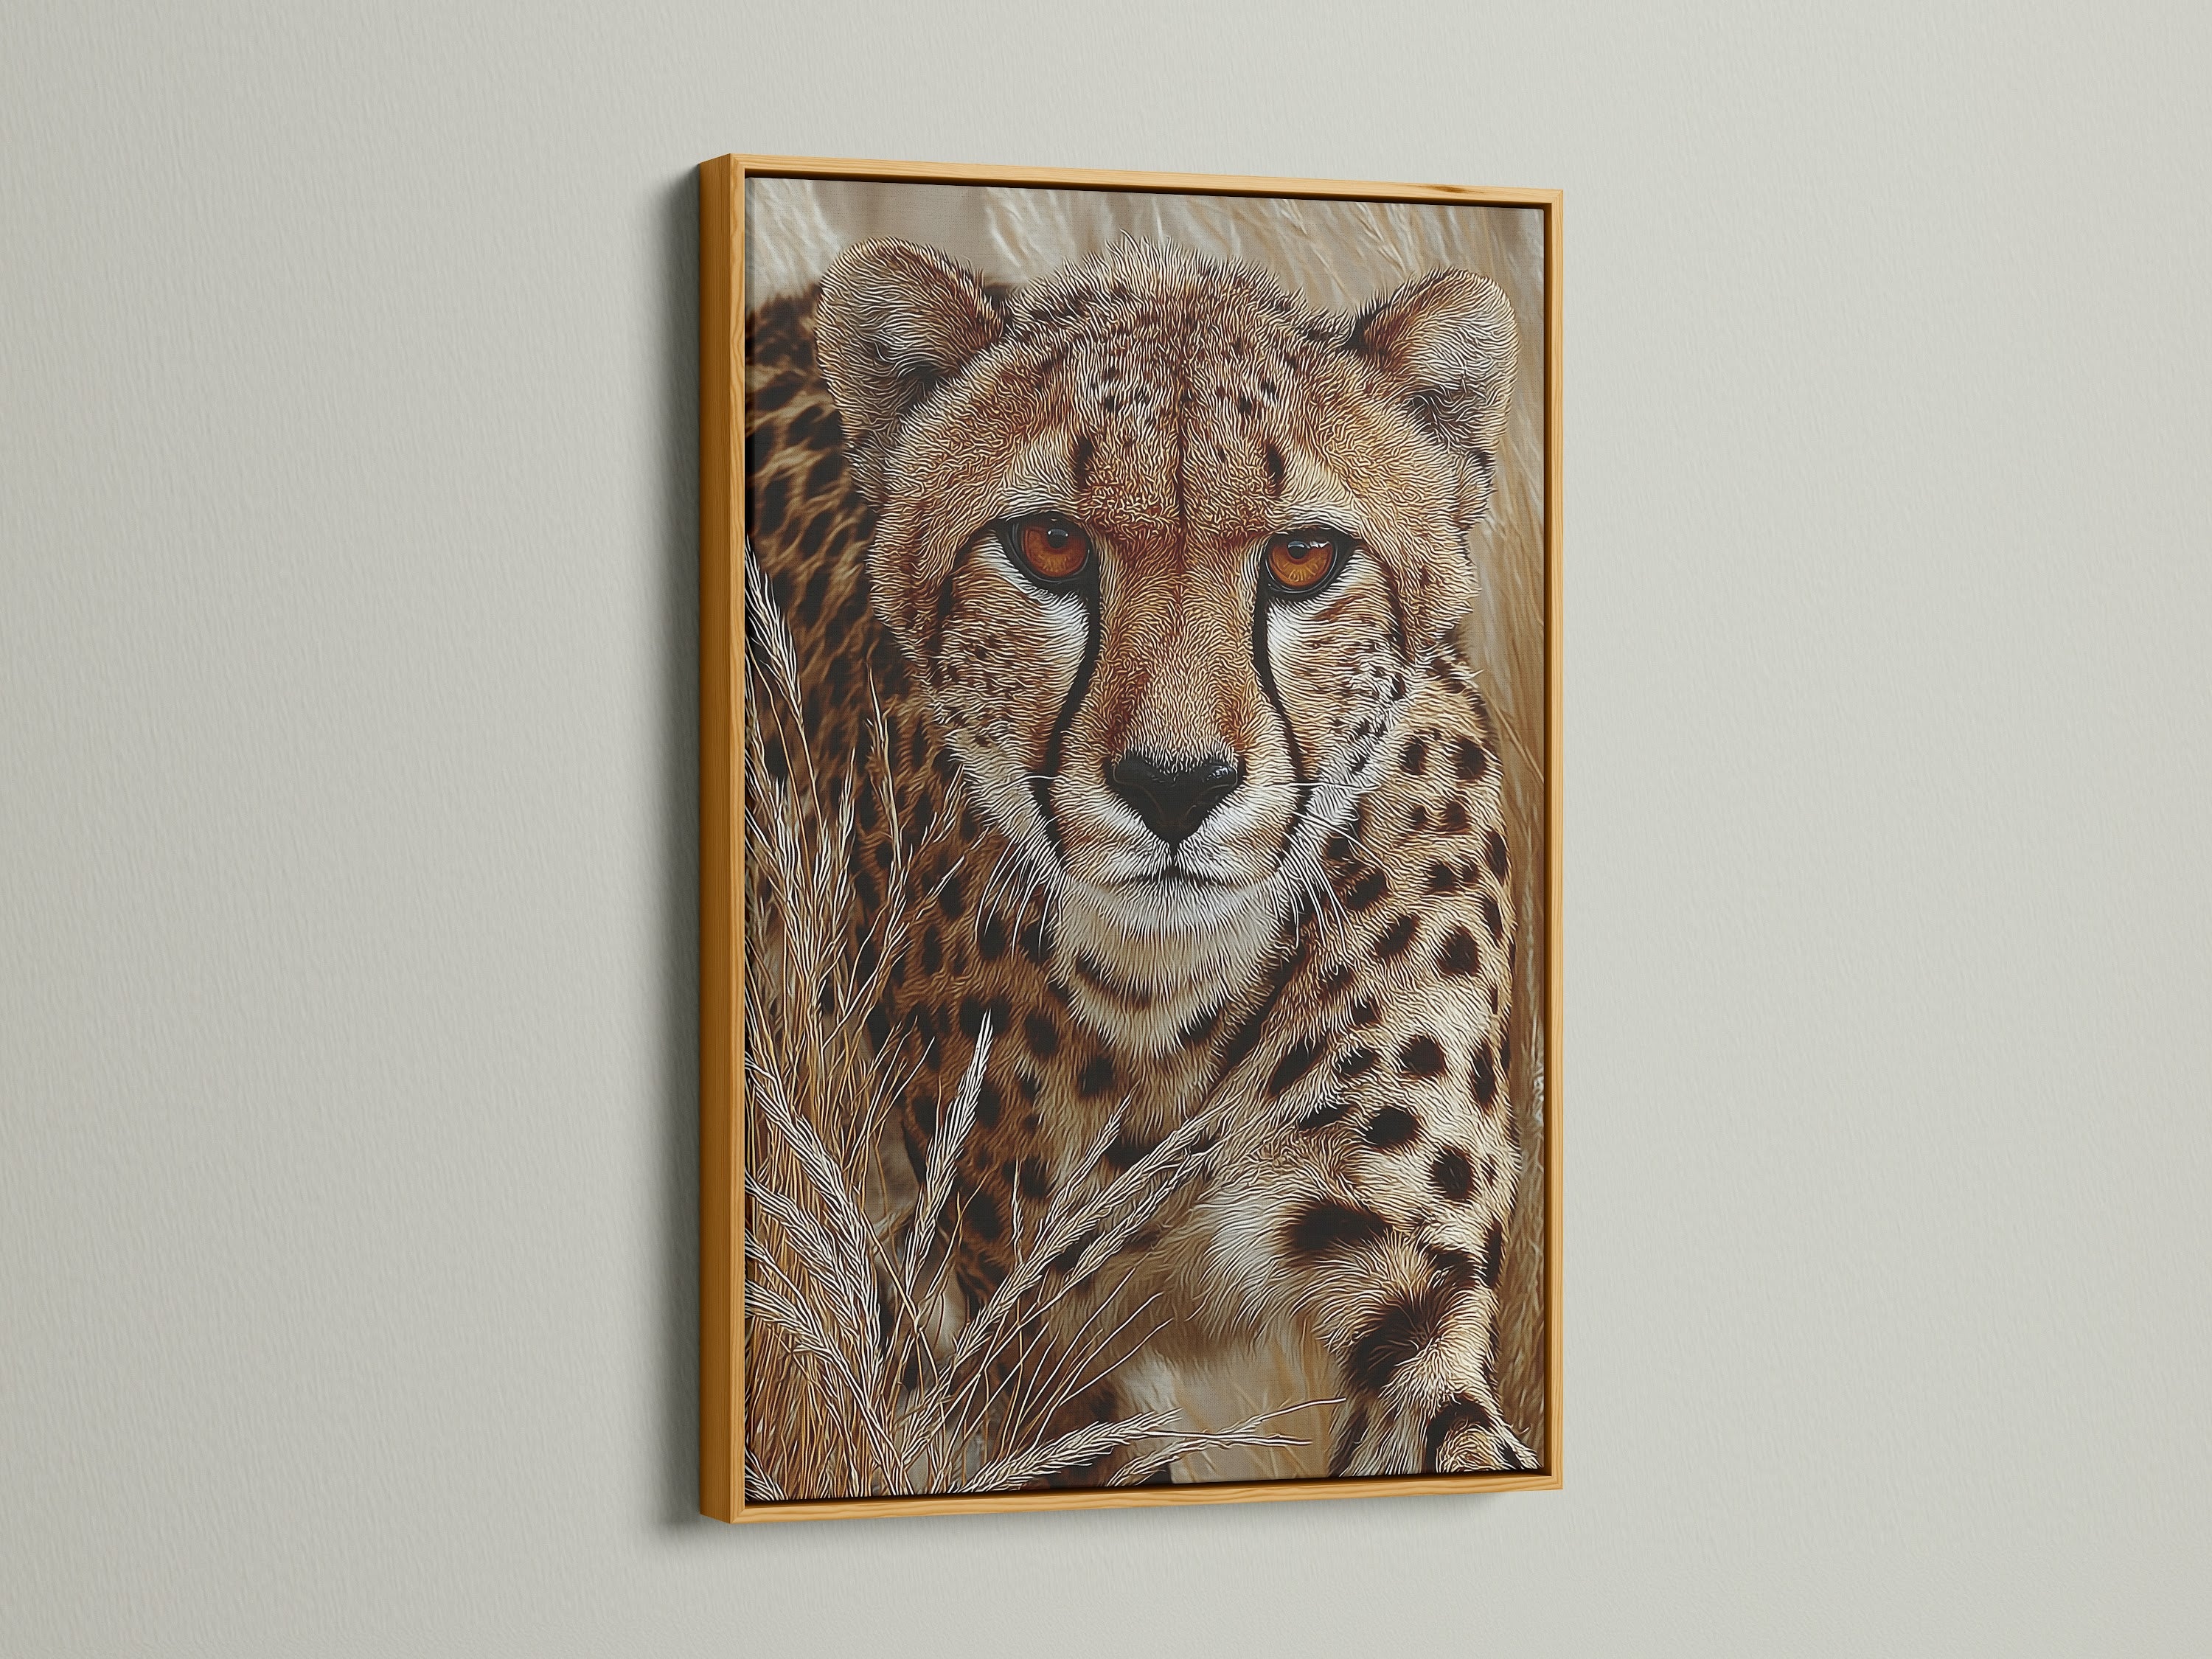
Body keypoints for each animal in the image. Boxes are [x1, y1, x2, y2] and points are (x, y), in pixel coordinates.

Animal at [744, 234, 1536, 1483]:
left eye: (1304, 557)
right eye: (1049, 544)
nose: (1176, 784)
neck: (1173, 1007)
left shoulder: (1410, 1287)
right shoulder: (1035, 1351)